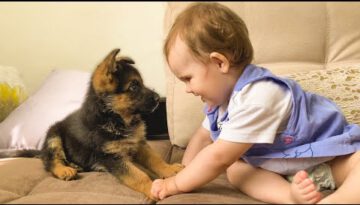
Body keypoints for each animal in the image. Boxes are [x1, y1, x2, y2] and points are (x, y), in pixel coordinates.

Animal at [1, 48, 183, 201]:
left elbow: (156, 160)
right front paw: (153, 188)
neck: (116, 118)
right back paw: (64, 169)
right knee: (50, 161)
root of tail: (42, 150)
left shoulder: (139, 144)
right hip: (54, 135)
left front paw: (170, 170)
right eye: (133, 86)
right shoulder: (112, 158)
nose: (158, 99)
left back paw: (74, 164)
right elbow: (138, 175)